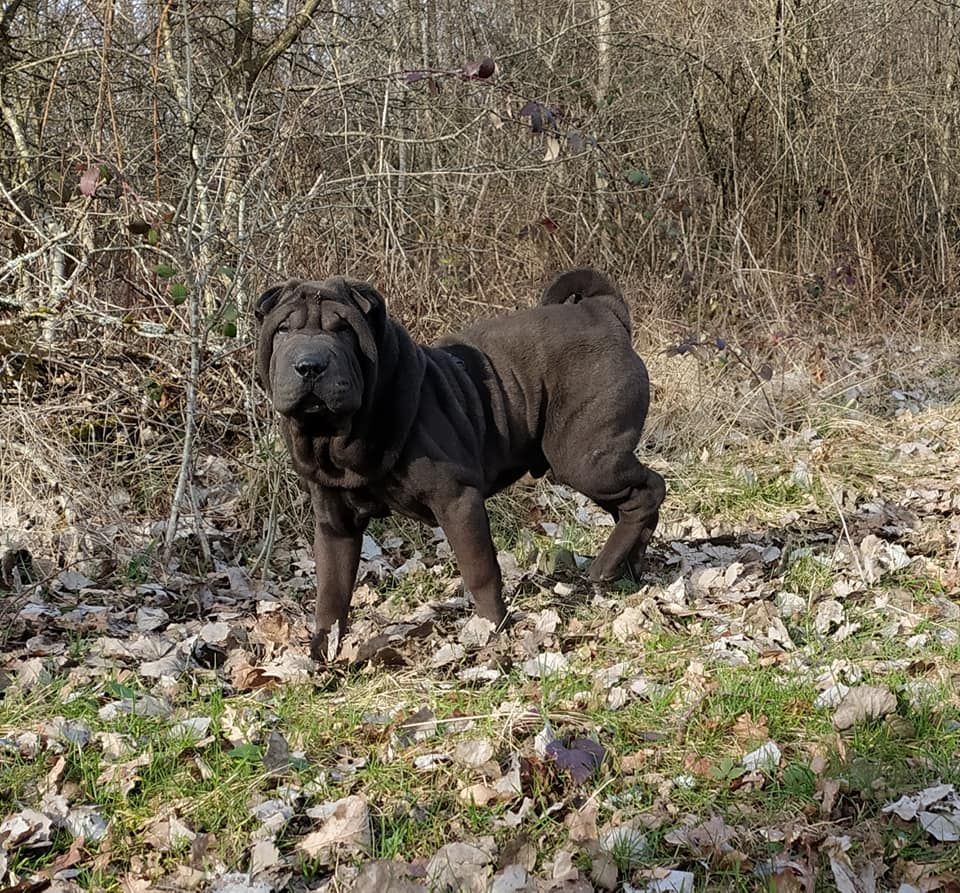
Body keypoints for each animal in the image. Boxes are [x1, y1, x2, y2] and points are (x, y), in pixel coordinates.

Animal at [255, 268, 668, 660]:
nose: (310, 365)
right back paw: (627, 567)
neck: (337, 435)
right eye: (283, 330)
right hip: (593, 462)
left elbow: (479, 569)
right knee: (634, 505)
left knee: (649, 489)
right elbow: (331, 590)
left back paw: (606, 566)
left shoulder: (456, 499)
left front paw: (491, 629)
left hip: (585, 457)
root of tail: (602, 312)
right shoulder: (335, 523)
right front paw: (322, 653)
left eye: (343, 330)